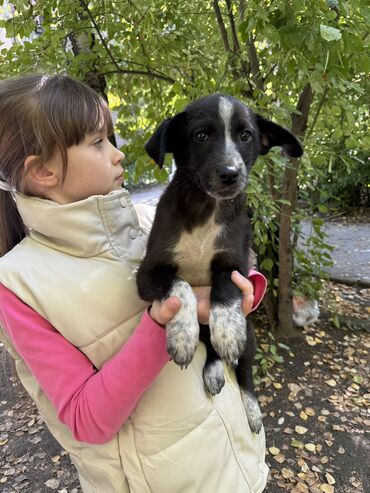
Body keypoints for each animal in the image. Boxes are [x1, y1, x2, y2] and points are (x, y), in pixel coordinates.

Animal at [134, 94, 302, 432]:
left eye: (246, 135)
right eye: (201, 135)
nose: (230, 173)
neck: (205, 208)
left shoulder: (237, 265)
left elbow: (224, 289)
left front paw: (227, 331)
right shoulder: (146, 274)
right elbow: (180, 284)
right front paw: (181, 335)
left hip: (250, 334)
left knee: (244, 372)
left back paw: (251, 409)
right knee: (209, 347)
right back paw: (211, 368)